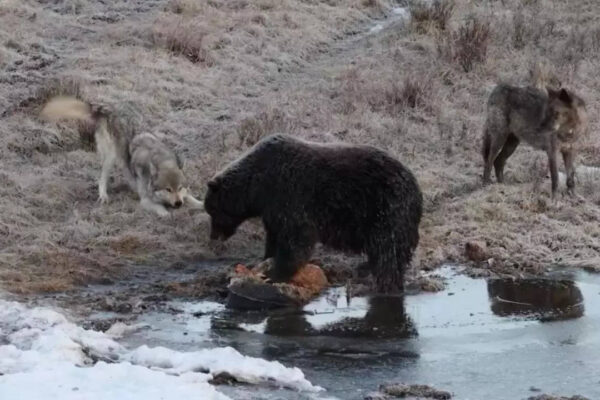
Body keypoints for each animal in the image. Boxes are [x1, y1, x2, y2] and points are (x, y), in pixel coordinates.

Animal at [41, 94, 204, 216]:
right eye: (168, 189)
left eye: (180, 187)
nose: (178, 204)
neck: (160, 159)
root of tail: (107, 107)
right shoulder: (146, 200)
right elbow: (161, 209)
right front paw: (167, 213)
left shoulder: (184, 194)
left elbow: (192, 198)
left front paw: (201, 204)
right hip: (111, 157)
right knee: (101, 179)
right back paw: (104, 196)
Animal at [202, 134, 422, 294]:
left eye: (212, 210)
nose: (214, 236)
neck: (258, 187)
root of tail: (416, 187)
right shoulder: (272, 209)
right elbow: (274, 235)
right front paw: (266, 260)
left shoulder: (290, 195)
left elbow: (296, 239)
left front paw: (274, 273)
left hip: (385, 209)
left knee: (387, 253)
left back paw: (384, 285)